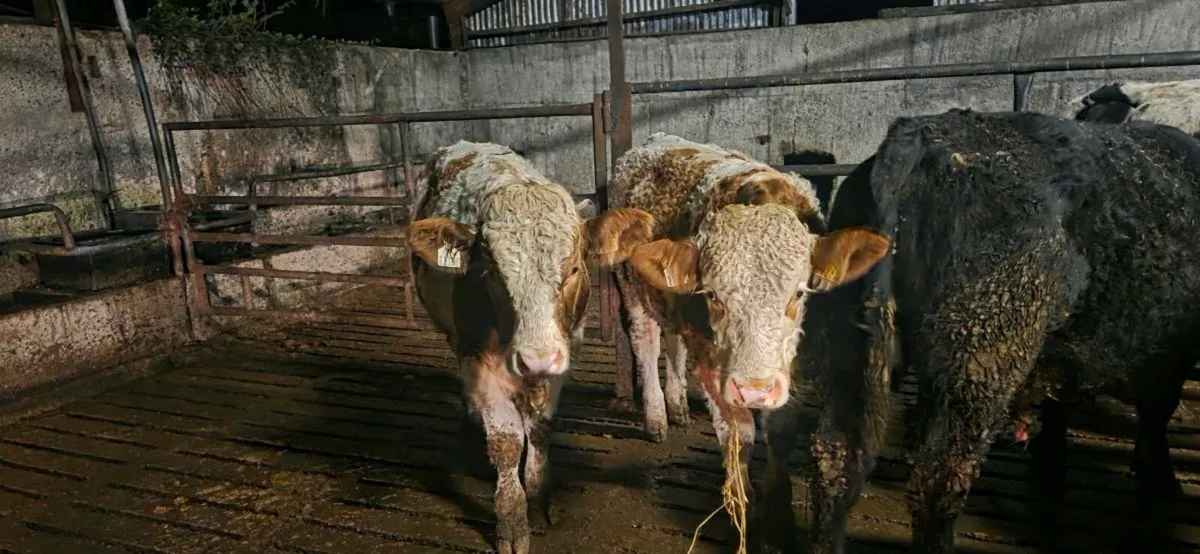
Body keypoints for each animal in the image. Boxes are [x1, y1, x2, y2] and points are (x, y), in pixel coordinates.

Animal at [406, 141, 651, 554]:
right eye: (491, 272)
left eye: (573, 269)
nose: (536, 358)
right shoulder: (481, 357)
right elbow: (506, 441)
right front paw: (512, 521)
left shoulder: (567, 349)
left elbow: (540, 428)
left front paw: (539, 499)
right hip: (456, 339)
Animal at [595, 132, 890, 515]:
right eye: (713, 295)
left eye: (798, 294)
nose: (754, 390)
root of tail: (655, 140)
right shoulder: (712, 362)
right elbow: (739, 430)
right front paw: (740, 498)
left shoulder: (795, 363)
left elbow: (780, 430)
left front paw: (777, 502)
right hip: (632, 286)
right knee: (646, 342)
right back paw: (657, 415)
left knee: (673, 344)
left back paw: (677, 405)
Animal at [759, 109, 1200, 554]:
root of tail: (920, 136)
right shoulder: (1169, 352)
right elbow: (1156, 412)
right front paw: (1161, 480)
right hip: (982, 353)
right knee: (938, 477)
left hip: (852, 343)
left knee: (837, 456)